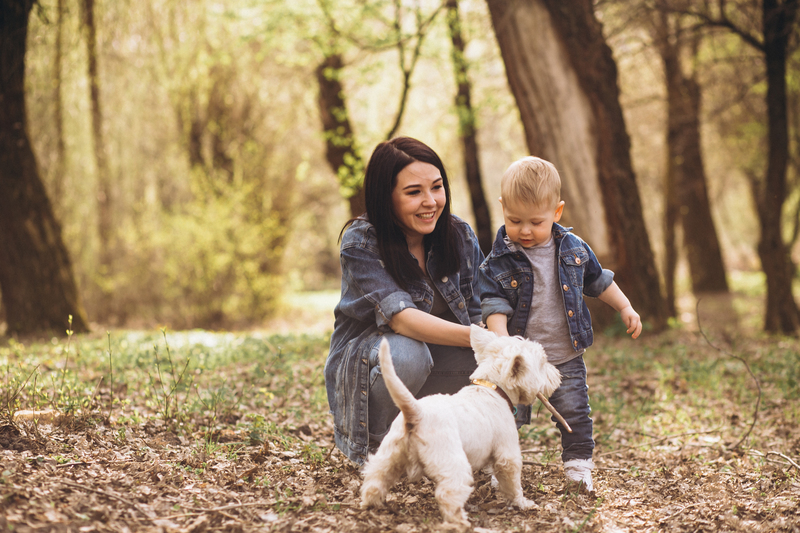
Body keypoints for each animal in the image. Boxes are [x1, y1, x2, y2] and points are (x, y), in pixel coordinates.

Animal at [362, 322, 564, 524]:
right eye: (543, 363)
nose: (558, 375)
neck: (493, 388)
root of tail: (416, 413)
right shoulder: (507, 453)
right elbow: (513, 483)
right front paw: (522, 503)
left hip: (389, 453)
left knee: (375, 477)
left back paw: (369, 504)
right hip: (452, 460)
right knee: (448, 493)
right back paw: (460, 521)